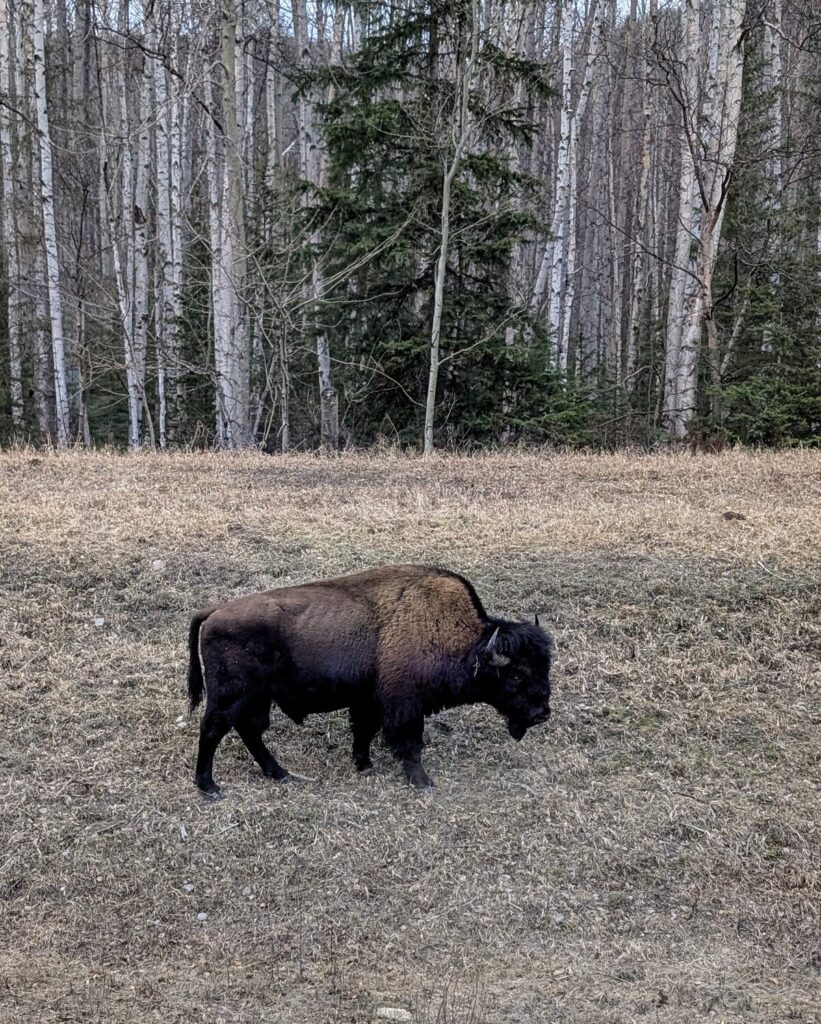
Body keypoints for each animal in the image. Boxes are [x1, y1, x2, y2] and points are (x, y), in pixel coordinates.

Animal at [187, 564, 553, 795]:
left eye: (545, 667)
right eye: (517, 673)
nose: (542, 713)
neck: (466, 641)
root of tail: (214, 612)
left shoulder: (368, 700)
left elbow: (363, 731)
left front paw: (364, 765)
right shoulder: (405, 705)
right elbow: (409, 743)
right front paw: (423, 782)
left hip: (258, 698)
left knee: (249, 730)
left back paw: (280, 774)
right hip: (232, 695)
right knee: (213, 729)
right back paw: (210, 787)